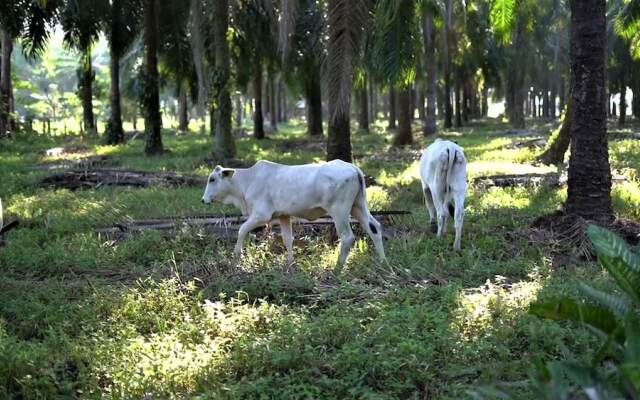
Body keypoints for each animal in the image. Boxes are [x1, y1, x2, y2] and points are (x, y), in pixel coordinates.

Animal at [202, 160, 388, 268]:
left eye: (212, 179)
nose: (203, 200)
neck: (247, 182)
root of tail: (353, 168)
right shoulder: (284, 216)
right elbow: (287, 240)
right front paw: (290, 263)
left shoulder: (261, 215)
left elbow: (241, 230)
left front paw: (236, 256)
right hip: (358, 206)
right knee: (375, 228)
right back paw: (383, 262)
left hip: (339, 210)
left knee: (348, 237)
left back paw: (337, 268)